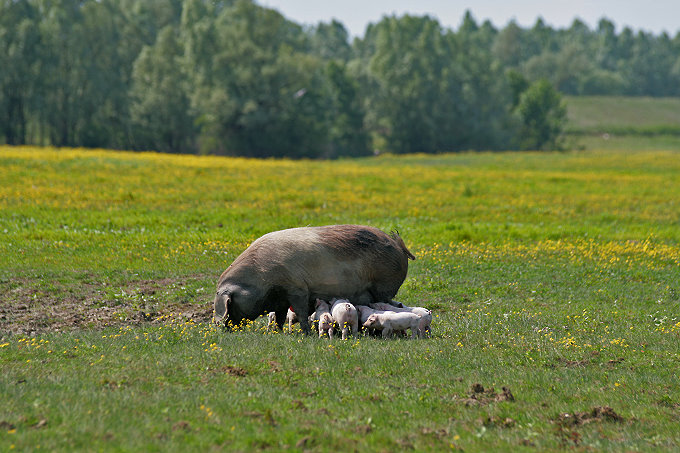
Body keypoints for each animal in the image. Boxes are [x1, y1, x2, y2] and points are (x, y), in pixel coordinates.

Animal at [212, 225, 414, 334]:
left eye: (230, 304)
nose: (225, 328)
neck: (262, 278)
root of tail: (398, 245)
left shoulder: (297, 289)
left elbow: (301, 313)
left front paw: (306, 334)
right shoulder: (281, 299)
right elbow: (279, 317)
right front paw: (277, 333)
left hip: (383, 286)